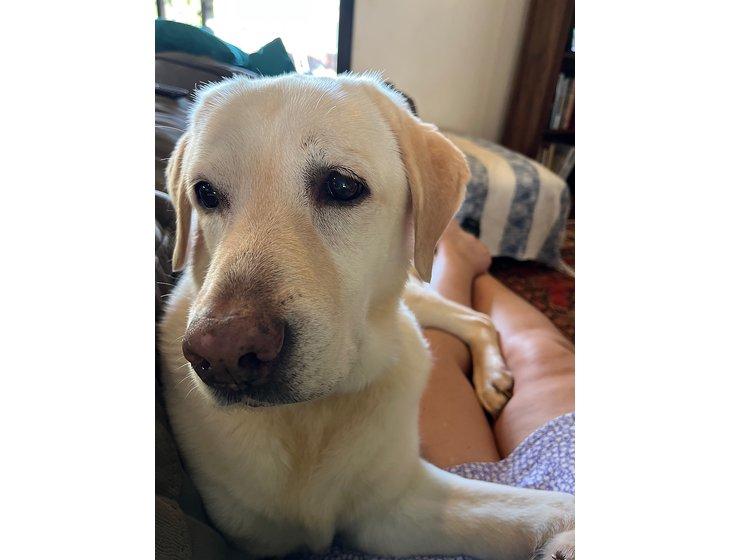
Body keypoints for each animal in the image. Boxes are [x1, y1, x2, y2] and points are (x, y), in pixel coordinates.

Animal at [161, 74, 576, 560]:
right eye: (205, 193)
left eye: (342, 186)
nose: (223, 355)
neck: (313, 417)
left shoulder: (399, 502)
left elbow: (549, 504)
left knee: (474, 317)